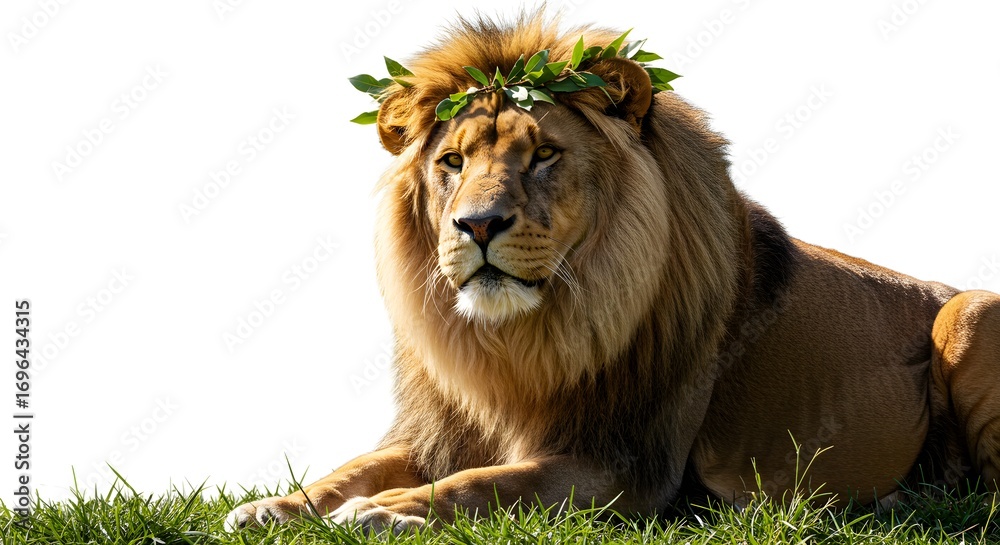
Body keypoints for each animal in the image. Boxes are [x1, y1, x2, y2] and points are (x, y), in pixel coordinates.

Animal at [226, 14, 1000, 533]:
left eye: (543, 154)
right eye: (451, 162)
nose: (477, 225)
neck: (515, 344)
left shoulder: (625, 467)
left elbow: (489, 483)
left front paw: (386, 512)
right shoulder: (436, 428)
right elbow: (355, 466)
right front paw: (277, 504)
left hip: (973, 311)